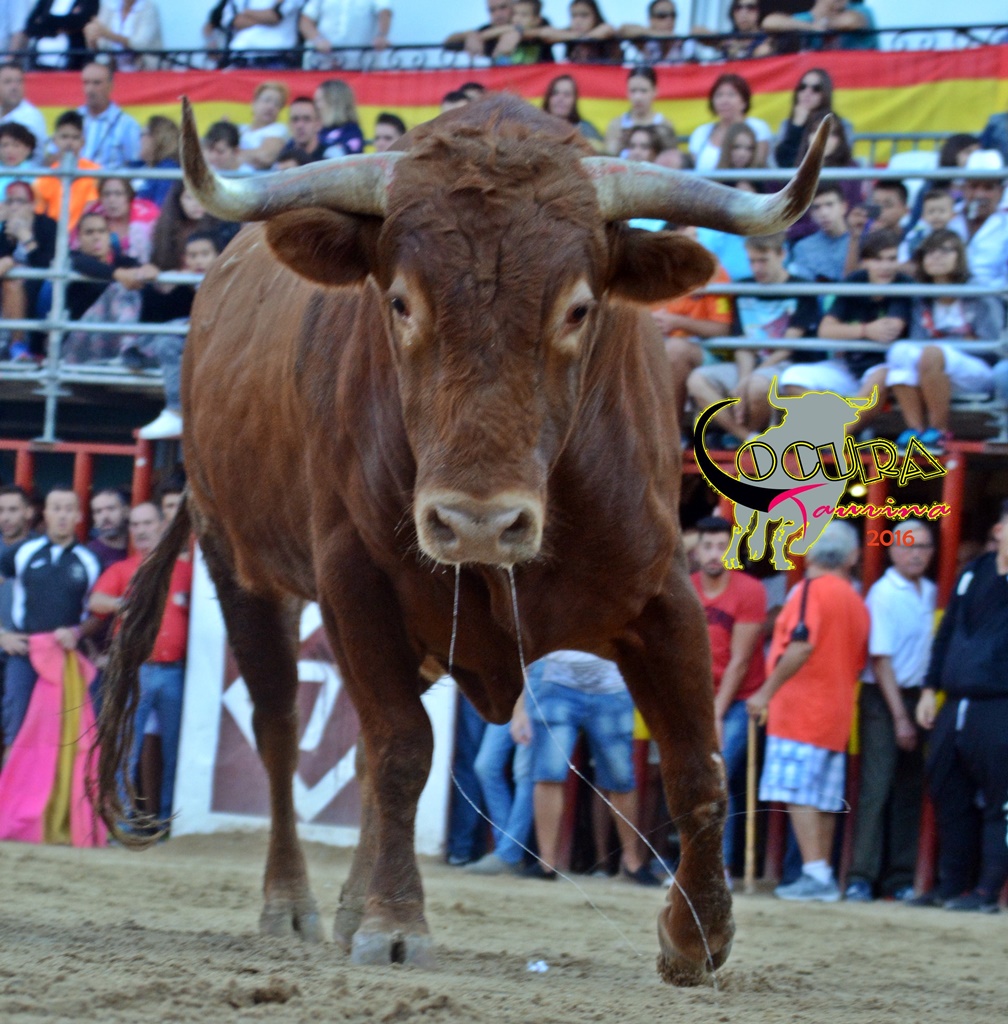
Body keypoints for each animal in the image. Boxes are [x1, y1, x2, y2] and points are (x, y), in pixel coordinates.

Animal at [96, 94, 828, 986]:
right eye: (401, 303)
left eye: (578, 308)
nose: (478, 522)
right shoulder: (356, 584)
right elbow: (404, 747)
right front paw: (393, 921)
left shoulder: (662, 595)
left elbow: (699, 767)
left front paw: (697, 935)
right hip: (239, 564)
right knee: (280, 729)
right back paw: (294, 904)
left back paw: (347, 903)